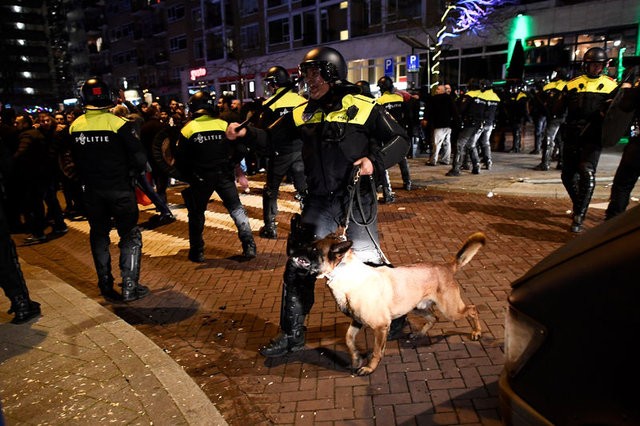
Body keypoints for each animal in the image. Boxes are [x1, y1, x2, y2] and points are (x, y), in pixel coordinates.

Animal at [292, 231, 484, 374]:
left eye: (313, 249)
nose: (291, 251)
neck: (344, 273)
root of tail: (446, 266)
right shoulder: (356, 321)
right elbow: (349, 340)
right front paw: (356, 359)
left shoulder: (381, 326)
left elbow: (377, 351)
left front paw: (369, 368)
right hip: (416, 307)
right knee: (433, 318)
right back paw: (419, 334)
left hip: (451, 311)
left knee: (472, 309)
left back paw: (476, 331)